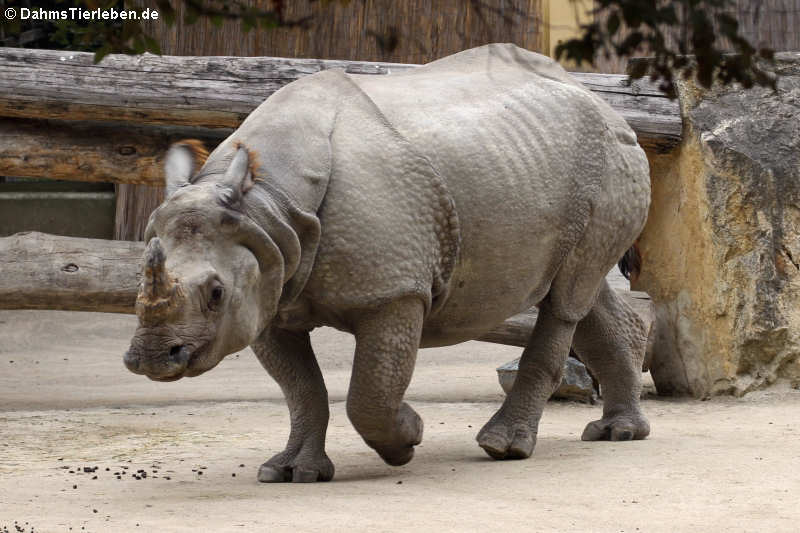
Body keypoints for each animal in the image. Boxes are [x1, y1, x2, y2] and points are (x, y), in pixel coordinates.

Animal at [124, 43, 652, 483]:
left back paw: (504, 448)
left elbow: (370, 392)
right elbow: (302, 388)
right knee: (581, 290)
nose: (151, 359)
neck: (268, 202)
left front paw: (408, 437)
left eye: (215, 293)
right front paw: (290, 473)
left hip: (611, 158)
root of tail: (606, 105)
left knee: (566, 298)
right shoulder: (268, 277)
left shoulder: (394, 291)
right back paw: (618, 433)